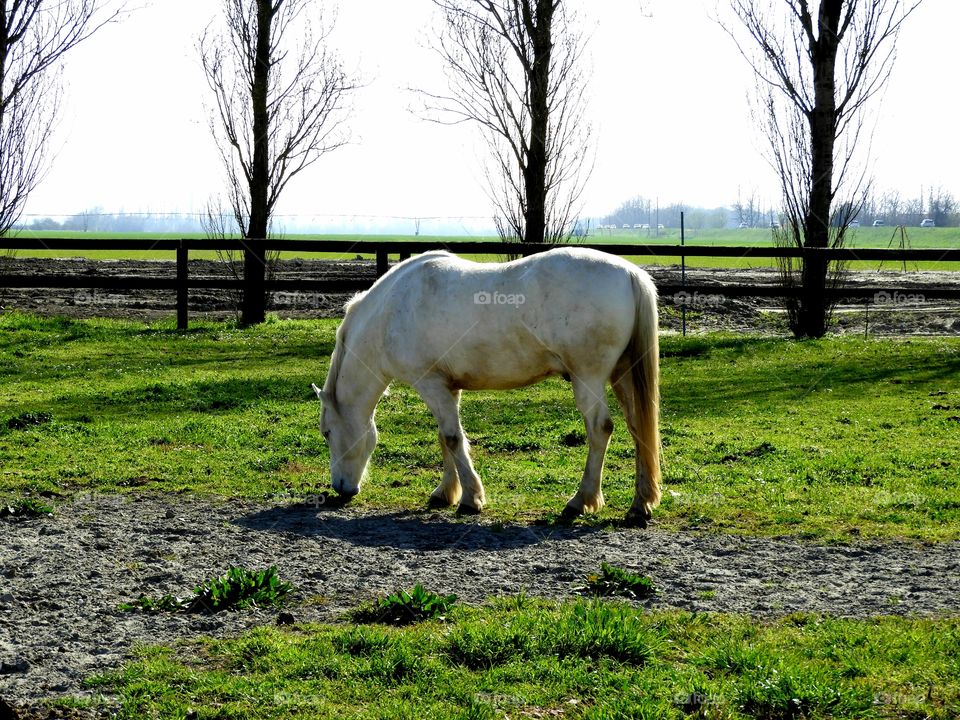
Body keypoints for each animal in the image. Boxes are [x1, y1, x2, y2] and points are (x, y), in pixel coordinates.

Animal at [311, 246, 661, 526]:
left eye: (327, 433)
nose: (340, 488)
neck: (390, 313)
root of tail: (630, 273)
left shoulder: (430, 384)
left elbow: (452, 439)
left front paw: (470, 499)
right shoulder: (447, 388)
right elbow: (446, 438)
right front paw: (446, 493)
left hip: (588, 378)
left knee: (600, 429)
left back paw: (580, 501)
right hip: (622, 376)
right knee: (638, 428)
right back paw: (640, 505)